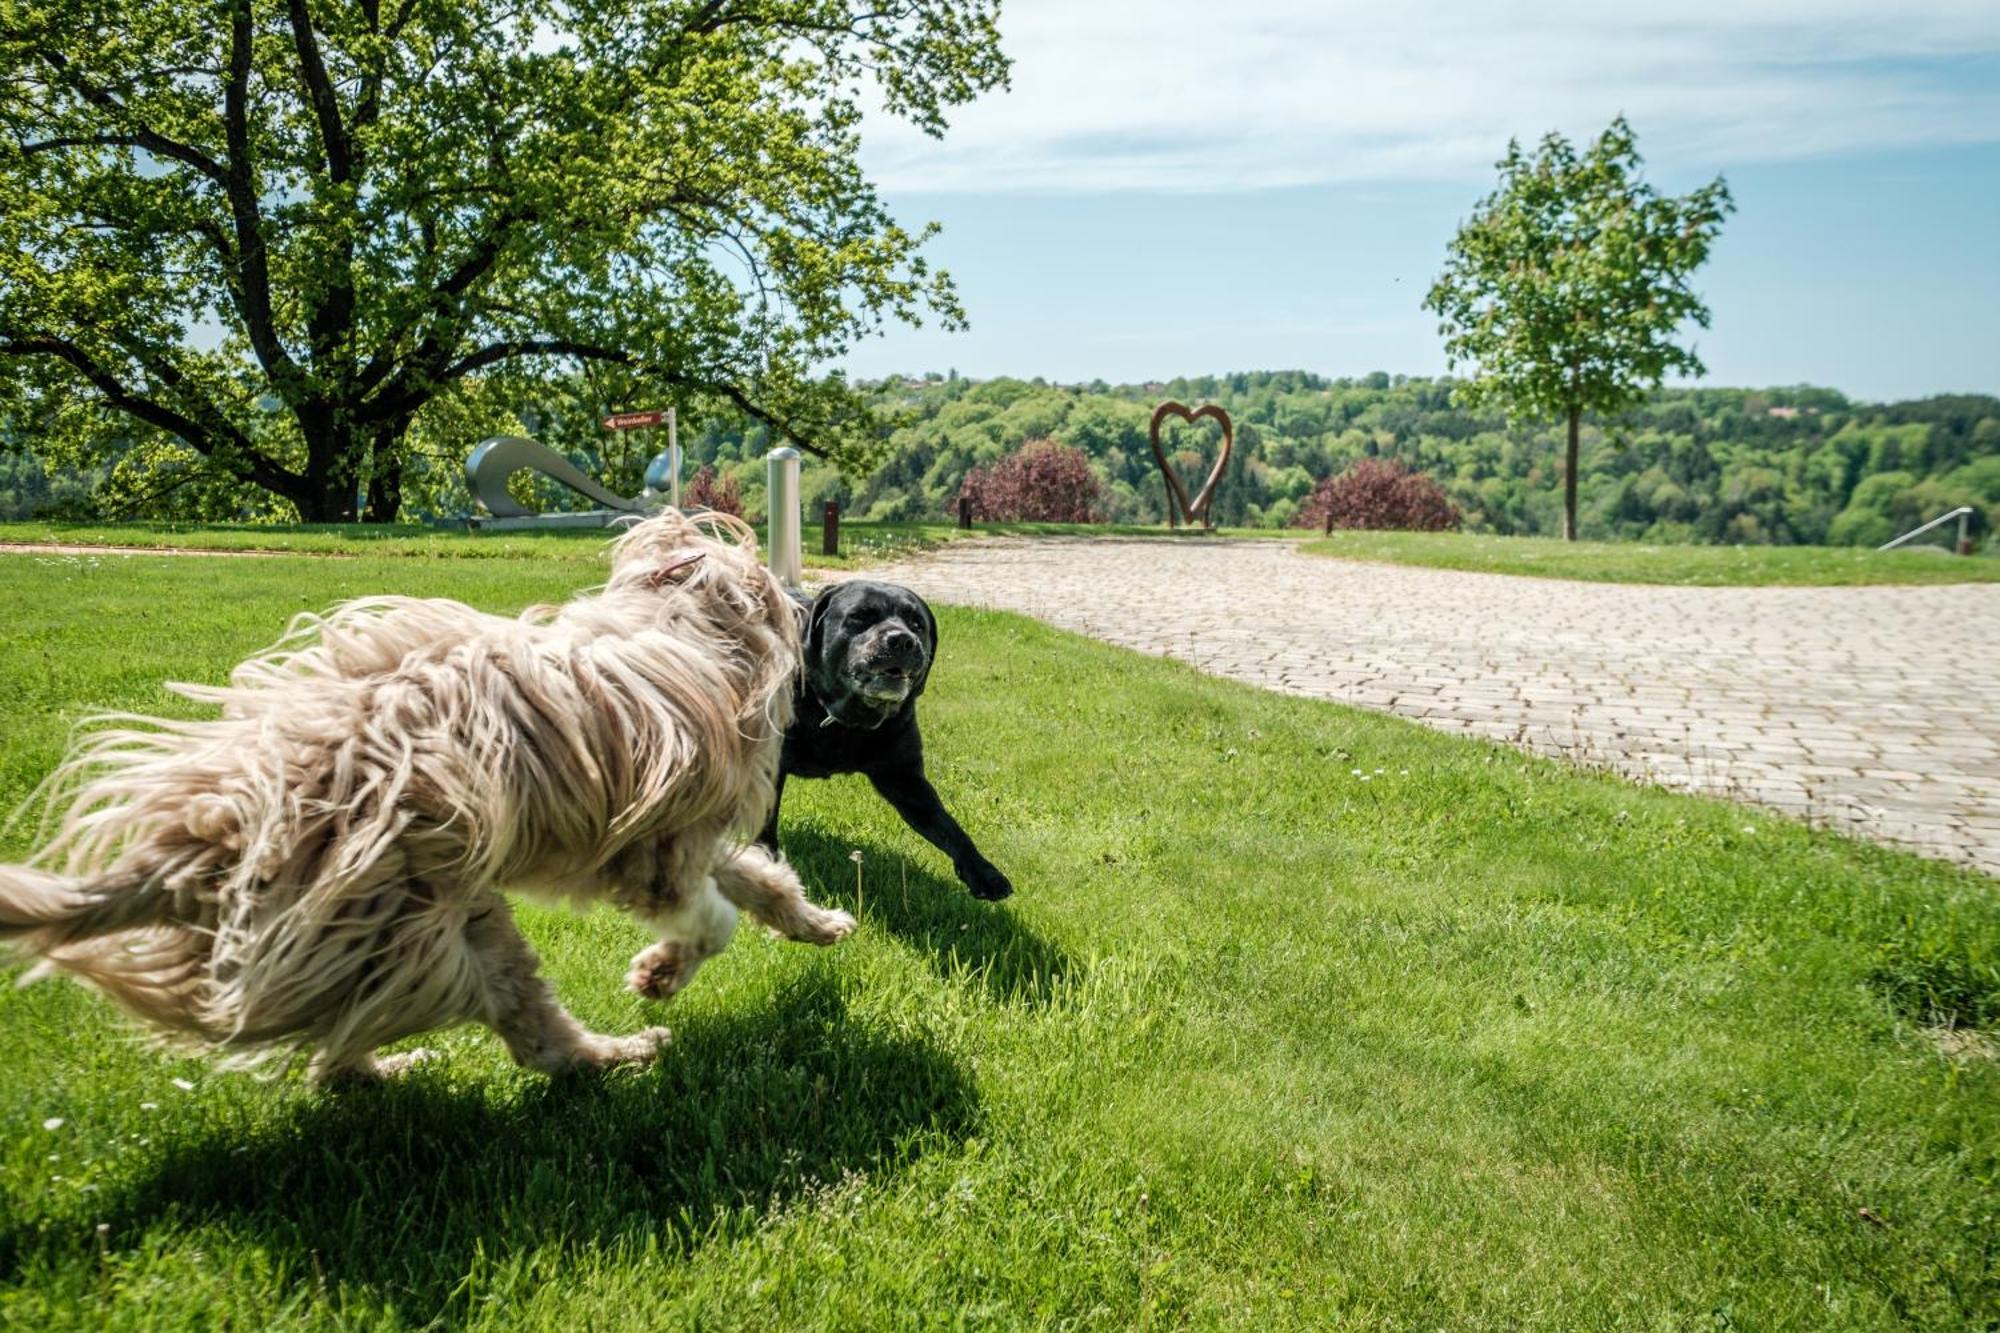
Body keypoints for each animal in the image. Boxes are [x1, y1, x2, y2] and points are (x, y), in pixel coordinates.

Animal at [0, 508, 852, 1080]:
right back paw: (618, 1050)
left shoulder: (689, 835)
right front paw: (660, 972)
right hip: (406, 927)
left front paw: (819, 924)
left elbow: (760, 879)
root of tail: (210, 830)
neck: (675, 615)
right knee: (503, 1038)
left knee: (415, 1042)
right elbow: (711, 919)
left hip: (430, 929)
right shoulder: (653, 851)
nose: (802, 600)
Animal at [764, 576, 1016, 896]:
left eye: (917, 624)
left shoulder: (903, 777)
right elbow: (767, 820)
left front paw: (983, 872)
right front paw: (768, 862)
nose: (901, 639)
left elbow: (947, 826)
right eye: (860, 616)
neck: (845, 720)